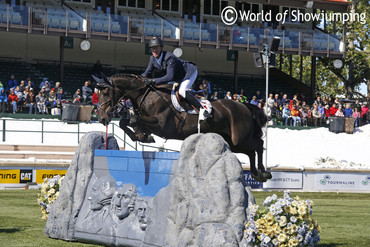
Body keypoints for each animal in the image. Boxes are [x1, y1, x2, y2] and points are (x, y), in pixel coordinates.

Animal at [94, 74, 270, 181]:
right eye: (99, 94)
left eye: (106, 93)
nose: (102, 118)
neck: (146, 95)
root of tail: (244, 106)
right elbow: (126, 122)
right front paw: (141, 135)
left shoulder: (161, 125)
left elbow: (133, 119)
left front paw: (142, 135)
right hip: (233, 142)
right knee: (251, 151)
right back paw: (256, 173)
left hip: (239, 139)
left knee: (258, 145)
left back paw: (263, 171)